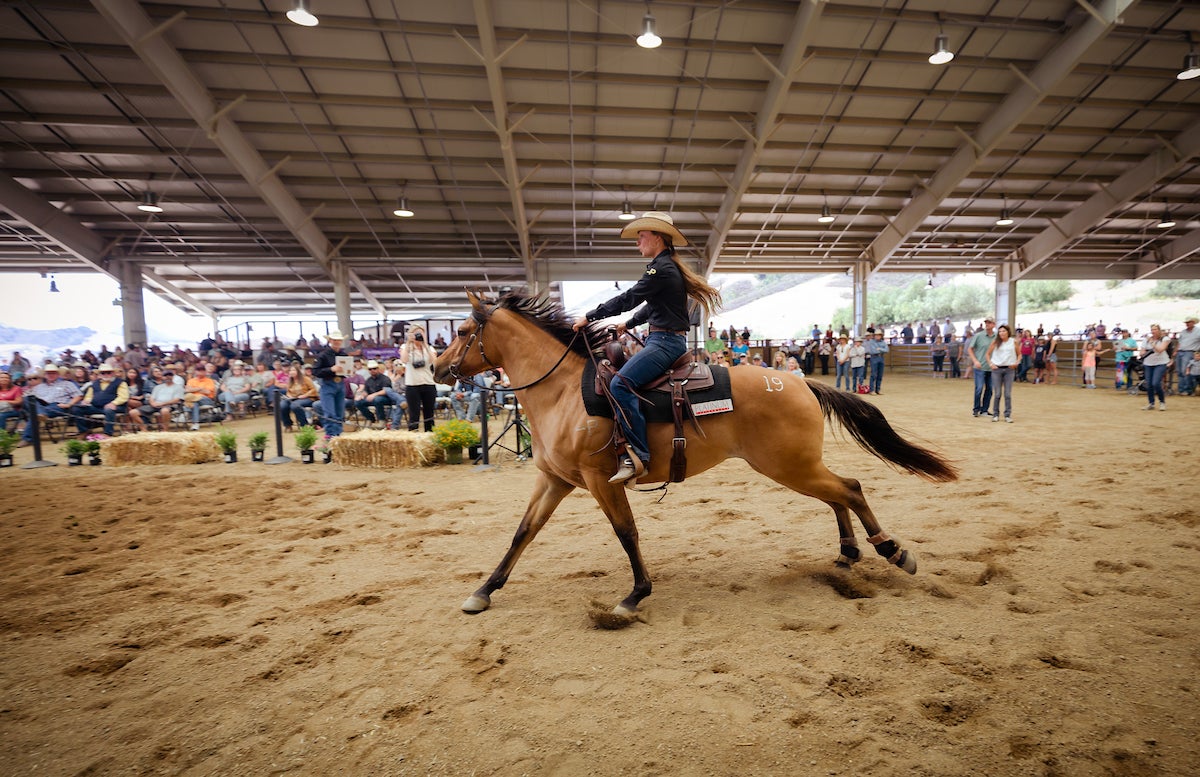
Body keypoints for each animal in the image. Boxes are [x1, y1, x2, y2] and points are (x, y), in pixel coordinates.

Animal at [434, 287, 955, 613]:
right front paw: (484, 591)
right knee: (838, 494)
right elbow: (523, 533)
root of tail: (798, 379)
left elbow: (627, 533)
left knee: (850, 488)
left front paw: (635, 595)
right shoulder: (556, 480)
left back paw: (892, 551)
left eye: (460, 332)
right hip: (795, 467)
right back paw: (849, 552)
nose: (438, 368)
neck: (562, 391)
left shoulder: (603, 481)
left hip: (790, 466)